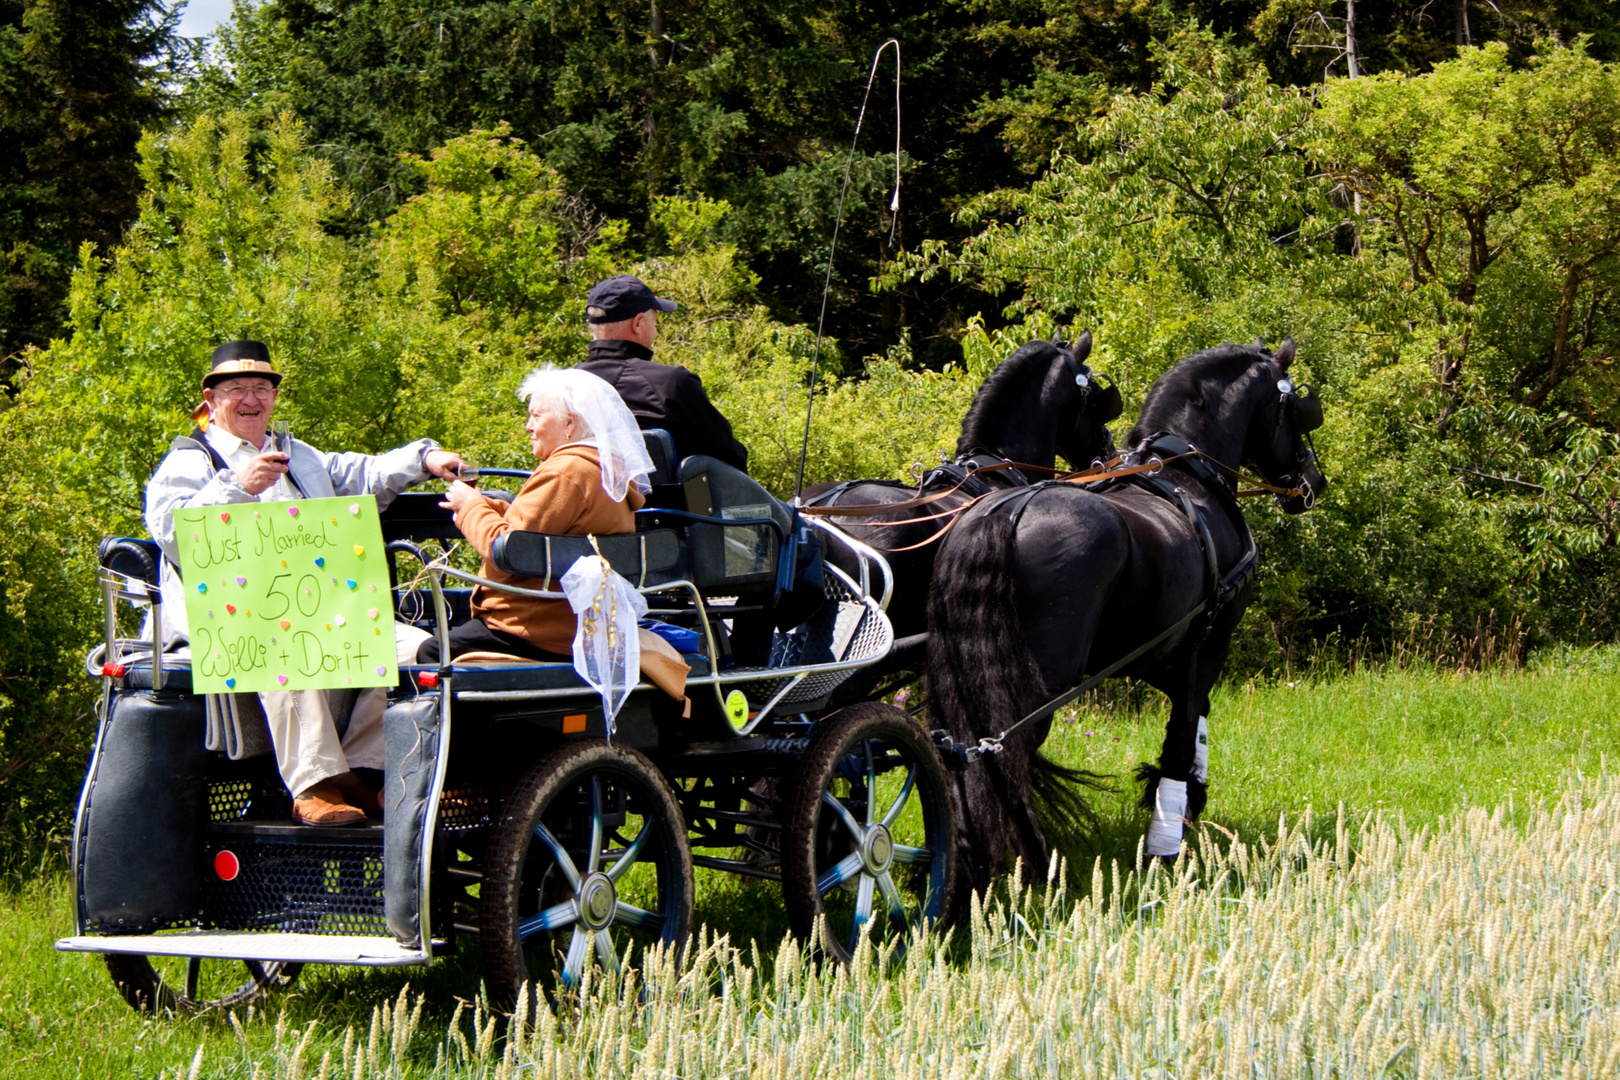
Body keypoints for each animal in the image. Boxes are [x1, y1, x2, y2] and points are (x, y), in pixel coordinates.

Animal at [926, 340, 1328, 893]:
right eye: (1298, 413)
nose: (1315, 480)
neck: (1187, 477)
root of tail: (1003, 512)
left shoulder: (1153, 653)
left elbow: (1193, 726)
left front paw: (1186, 803)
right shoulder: (1207, 643)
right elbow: (1183, 733)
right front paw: (1167, 844)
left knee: (958, 755)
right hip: (1036, 685)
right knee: (1006, 751)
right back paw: (1032, 867)